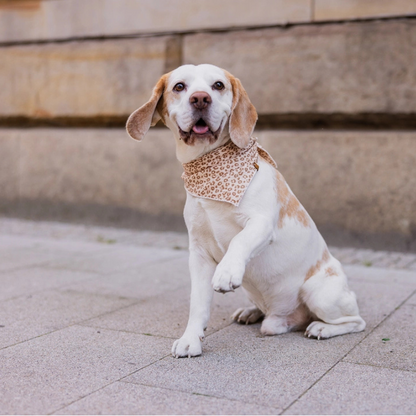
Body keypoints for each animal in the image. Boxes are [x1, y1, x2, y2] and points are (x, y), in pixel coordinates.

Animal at [126, 62, 364, 358]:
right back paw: (252, 312)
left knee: (355, 322)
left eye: (218, 85)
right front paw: (190, 340)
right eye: (179, 86)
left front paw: (227, 272)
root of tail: (289, 320)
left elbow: (239, 241)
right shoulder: (199, 254)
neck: (210, 171)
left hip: (319, 292)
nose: (200, 99)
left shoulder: (261, 224)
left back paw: (322, 328)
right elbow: (198, 305)